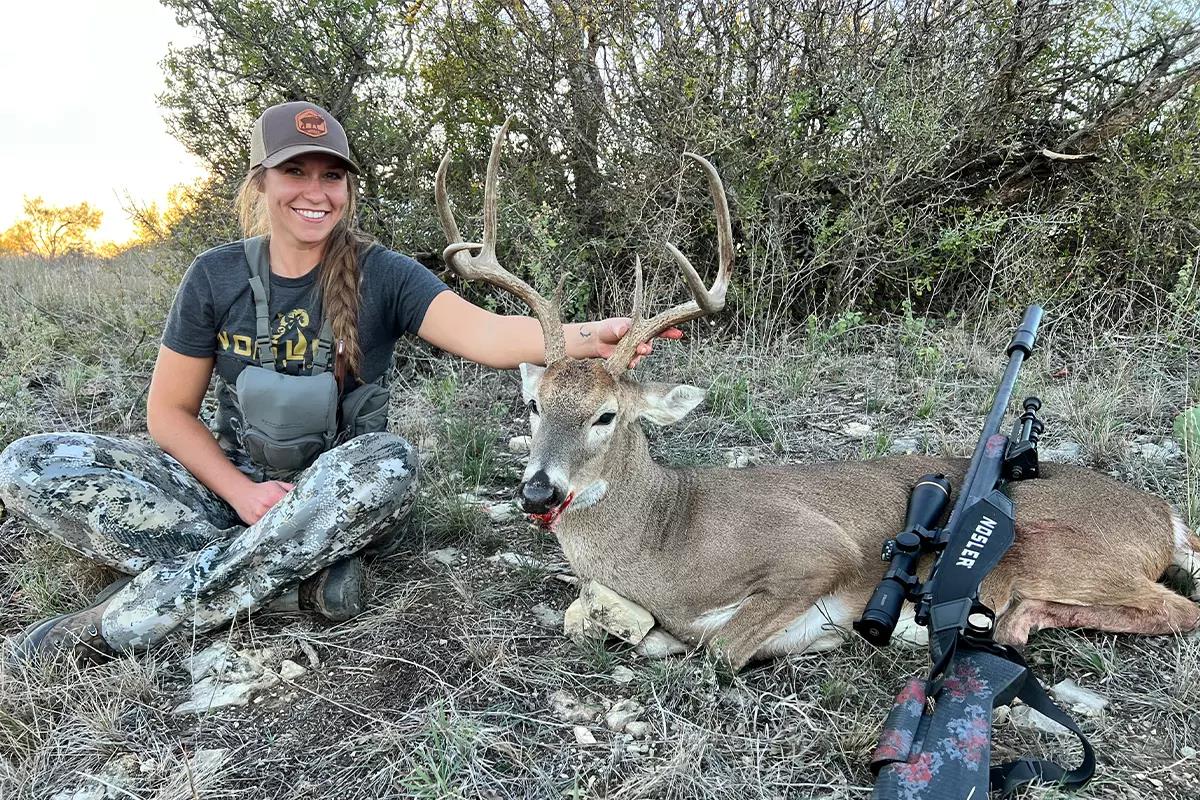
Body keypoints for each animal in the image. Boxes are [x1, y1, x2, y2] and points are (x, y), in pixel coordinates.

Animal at [436, 117, 1200, 671]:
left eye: (606, 415)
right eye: (534, 404)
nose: (538, 491)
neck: (669, 538)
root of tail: (1164, 517)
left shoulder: (815, 550)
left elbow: (715, 650)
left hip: (1060, 546)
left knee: (1175, 608)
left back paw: (1016, 620)